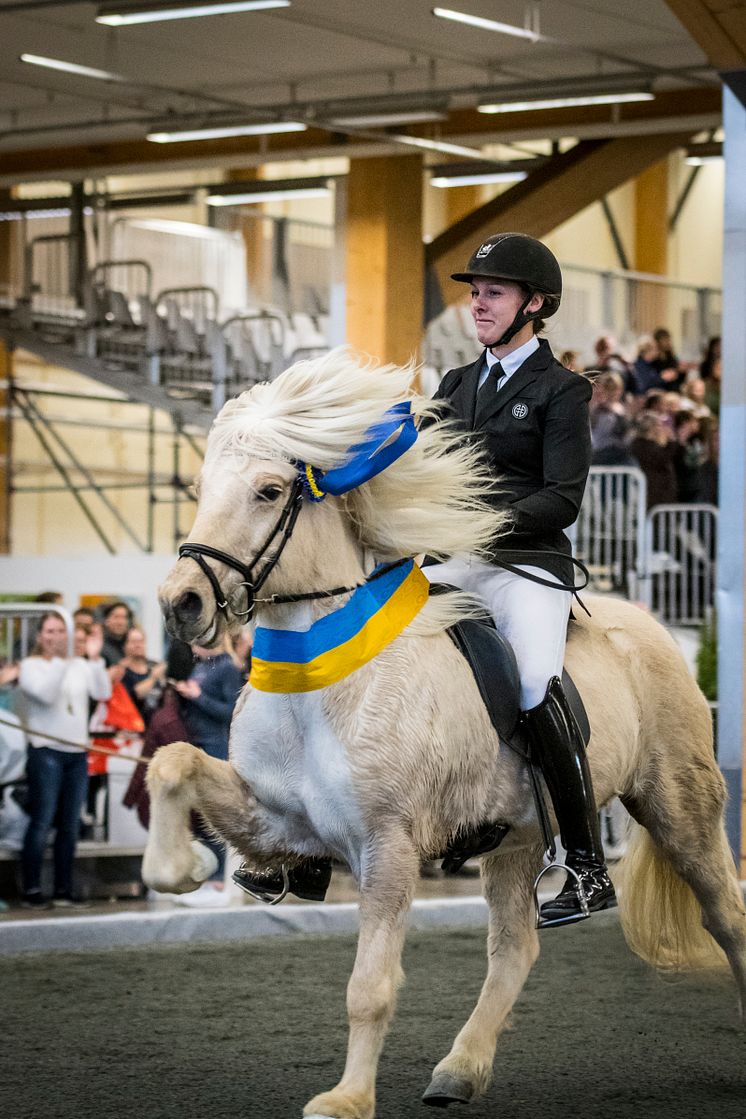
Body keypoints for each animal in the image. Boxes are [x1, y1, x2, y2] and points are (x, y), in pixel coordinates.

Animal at [145, 346, 746, 1119]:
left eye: (270, 491)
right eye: (200, 486)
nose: (181, 604)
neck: (321, 684)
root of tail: (653, 625)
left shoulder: (389, 846)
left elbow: (369, 987)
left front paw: (346, 1099)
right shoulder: (275, 817)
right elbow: (172, 760)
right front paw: (179, 868)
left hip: (679, 805)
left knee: (725, 915)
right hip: (519, 837)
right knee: (516, 948)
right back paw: (459, 1070)